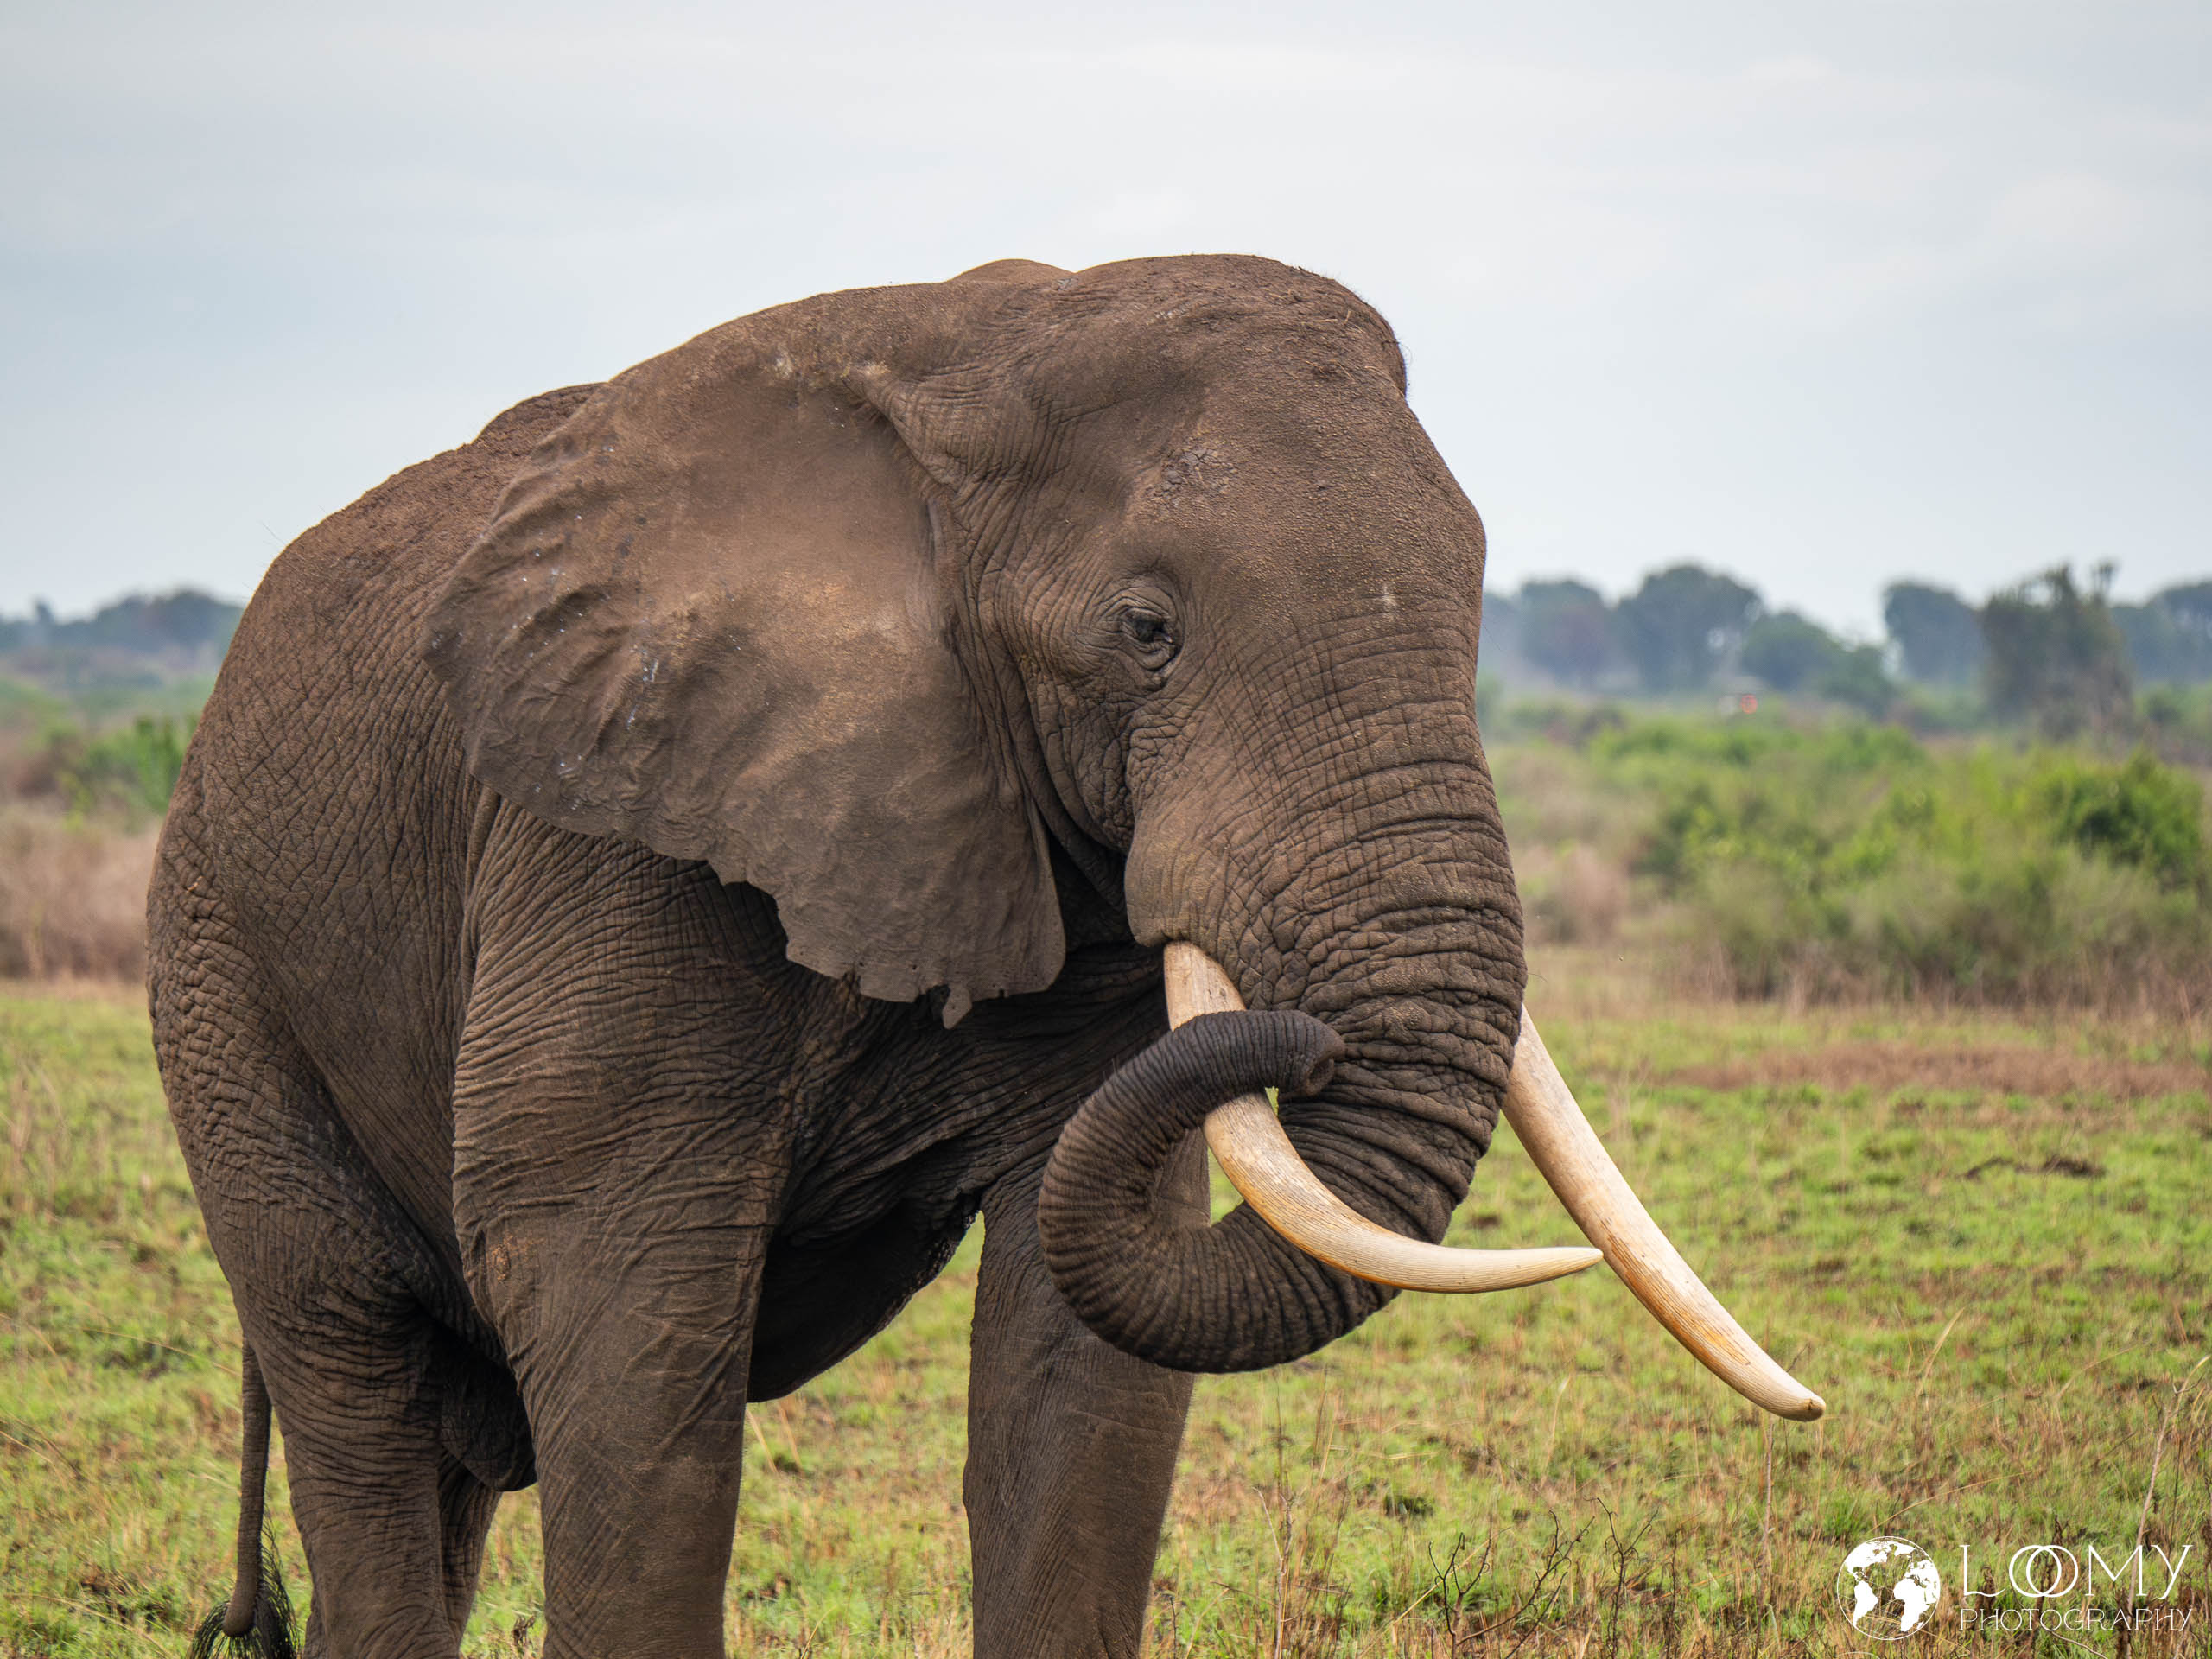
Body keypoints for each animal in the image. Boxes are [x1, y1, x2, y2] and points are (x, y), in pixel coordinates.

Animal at [149, 254, 1818, 1659]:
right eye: (1147, 629)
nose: (1306, 1033)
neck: (979, 357)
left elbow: (1084, 1346)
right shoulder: (609, 828)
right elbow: (614, 1312)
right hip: (221, 970)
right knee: (357, 1381)